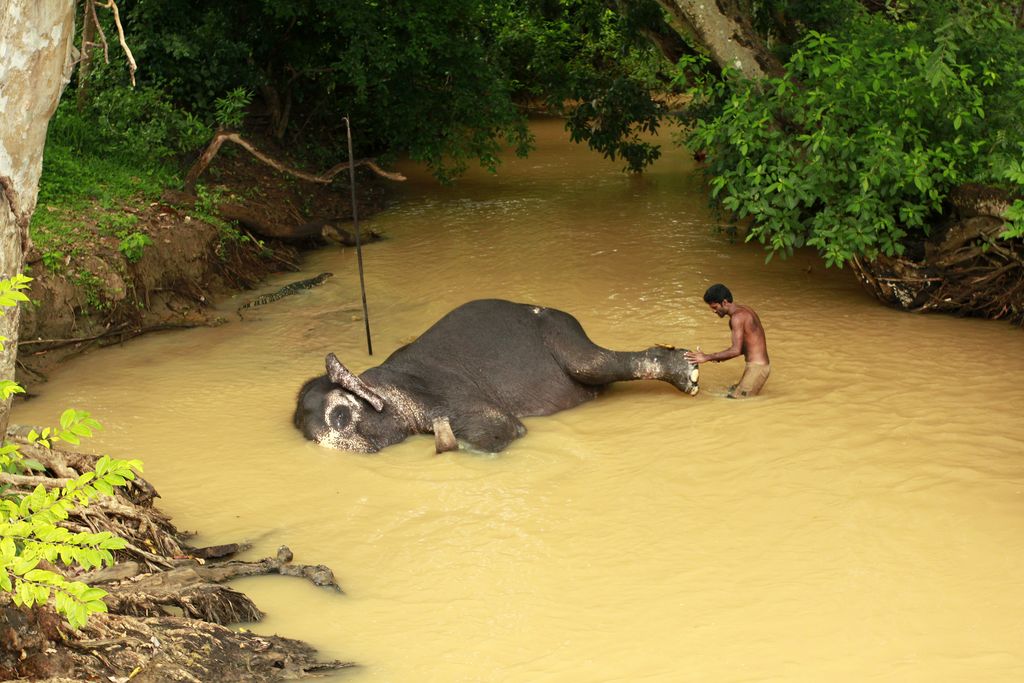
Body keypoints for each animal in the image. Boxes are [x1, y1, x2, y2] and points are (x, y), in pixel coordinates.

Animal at [292, 299, 700, 454]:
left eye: (340, 416)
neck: (380, 379)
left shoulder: (443, 394)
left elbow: (503, 428)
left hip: (564, 334)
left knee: (595, 363)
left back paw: (689, 372)